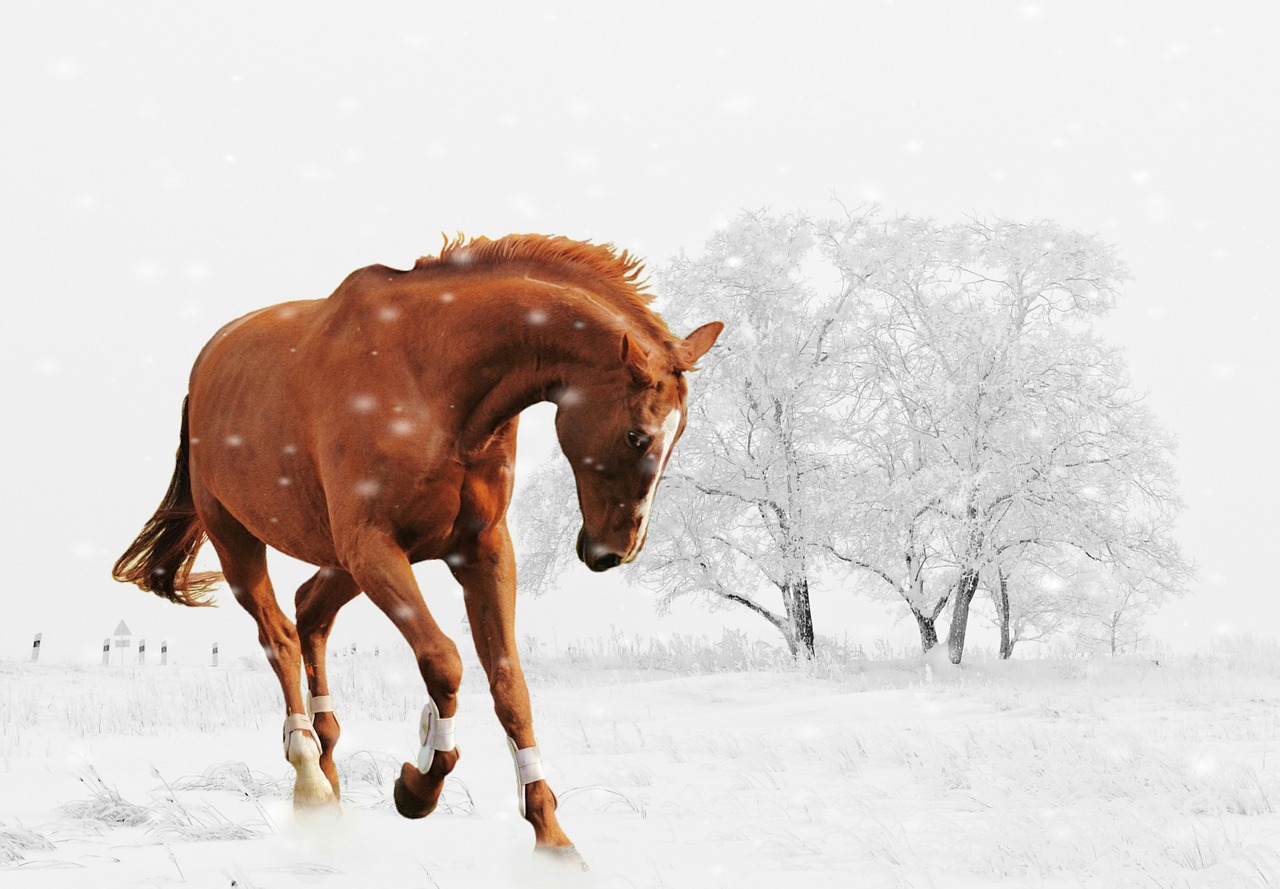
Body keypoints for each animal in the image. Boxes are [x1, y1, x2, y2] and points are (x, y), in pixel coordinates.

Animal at [112, 232, 721, 864]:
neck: (433, 380)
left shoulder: (481, 551)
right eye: (638, 436)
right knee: (279, 635)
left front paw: (550, 835)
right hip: (240, 541)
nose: (613, 552)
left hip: (338, 561)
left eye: (678, 434)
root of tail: (204, 367)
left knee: (309, 611)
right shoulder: (374, 548)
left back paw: (330, 772)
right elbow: (444, 661)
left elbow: (510, 685)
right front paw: (418, 784)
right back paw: (310, 780)